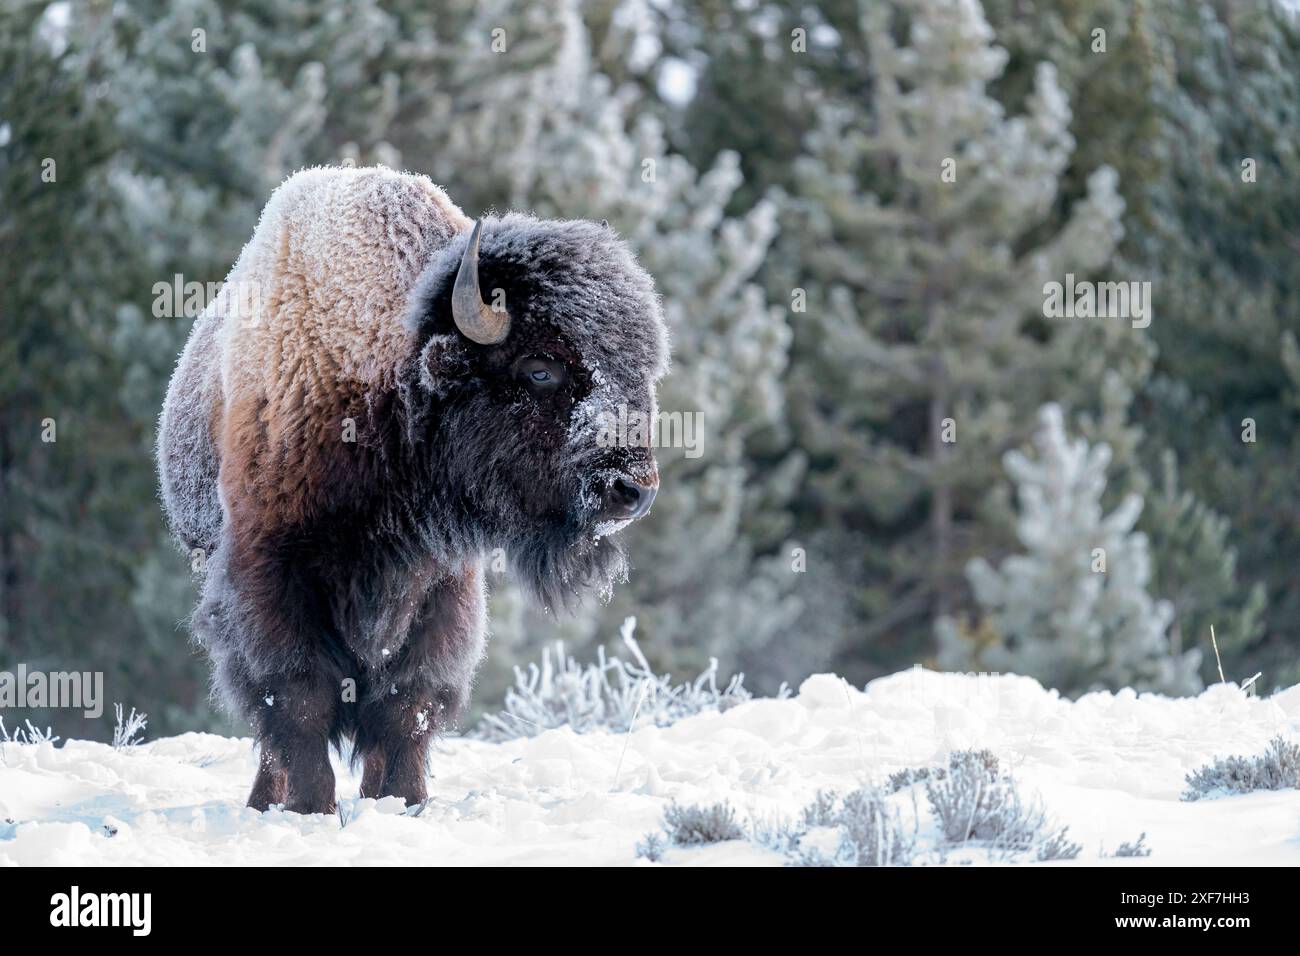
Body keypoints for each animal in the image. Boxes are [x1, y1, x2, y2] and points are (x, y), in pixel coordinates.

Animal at [159, 166, 670, 816]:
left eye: (642, 372)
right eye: (541, 368)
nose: (633, 489)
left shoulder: (442, 583)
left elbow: (410, 702)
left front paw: (404, 802)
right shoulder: (269, 571)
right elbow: (298, 696)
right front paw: (310, 808)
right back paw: (264, 801)